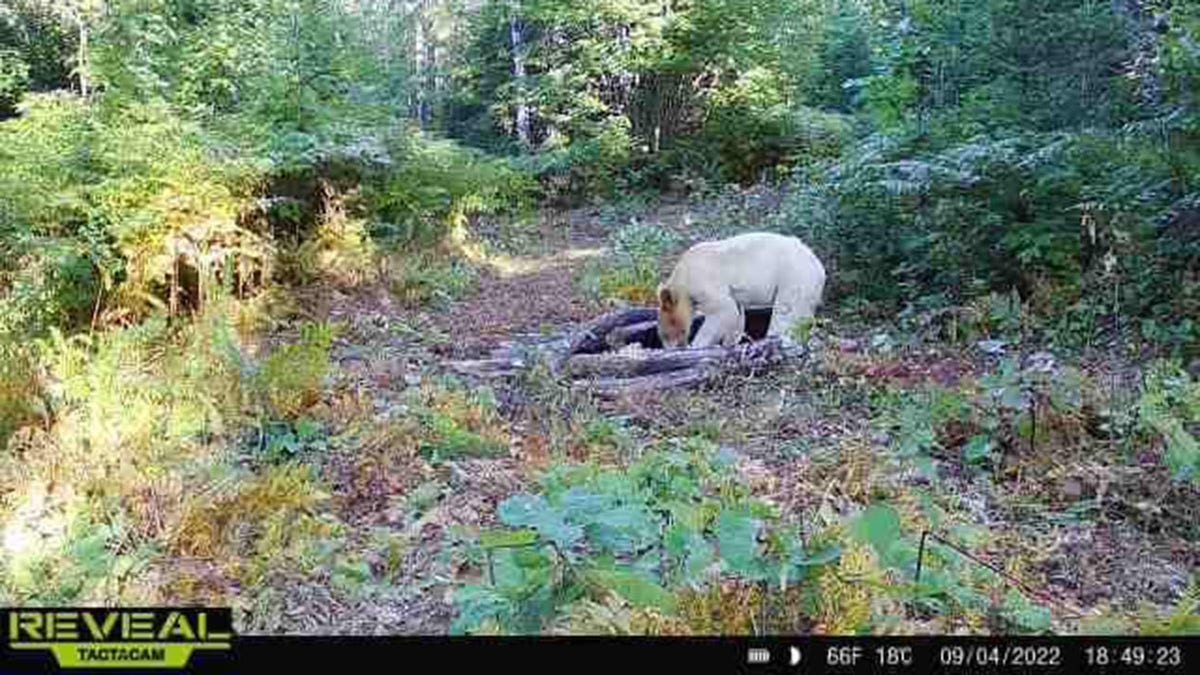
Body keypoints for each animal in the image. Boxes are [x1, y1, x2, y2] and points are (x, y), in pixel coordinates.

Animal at [657, 230, 825, 345]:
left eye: (665, 334)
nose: (672, 347)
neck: (683, 275)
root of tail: (819, 267)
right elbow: (736, 314)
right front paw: (730, 342)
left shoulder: (702, 281)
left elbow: (724, 310)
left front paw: (698, 345)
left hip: (793, 276)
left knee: (785, 313)